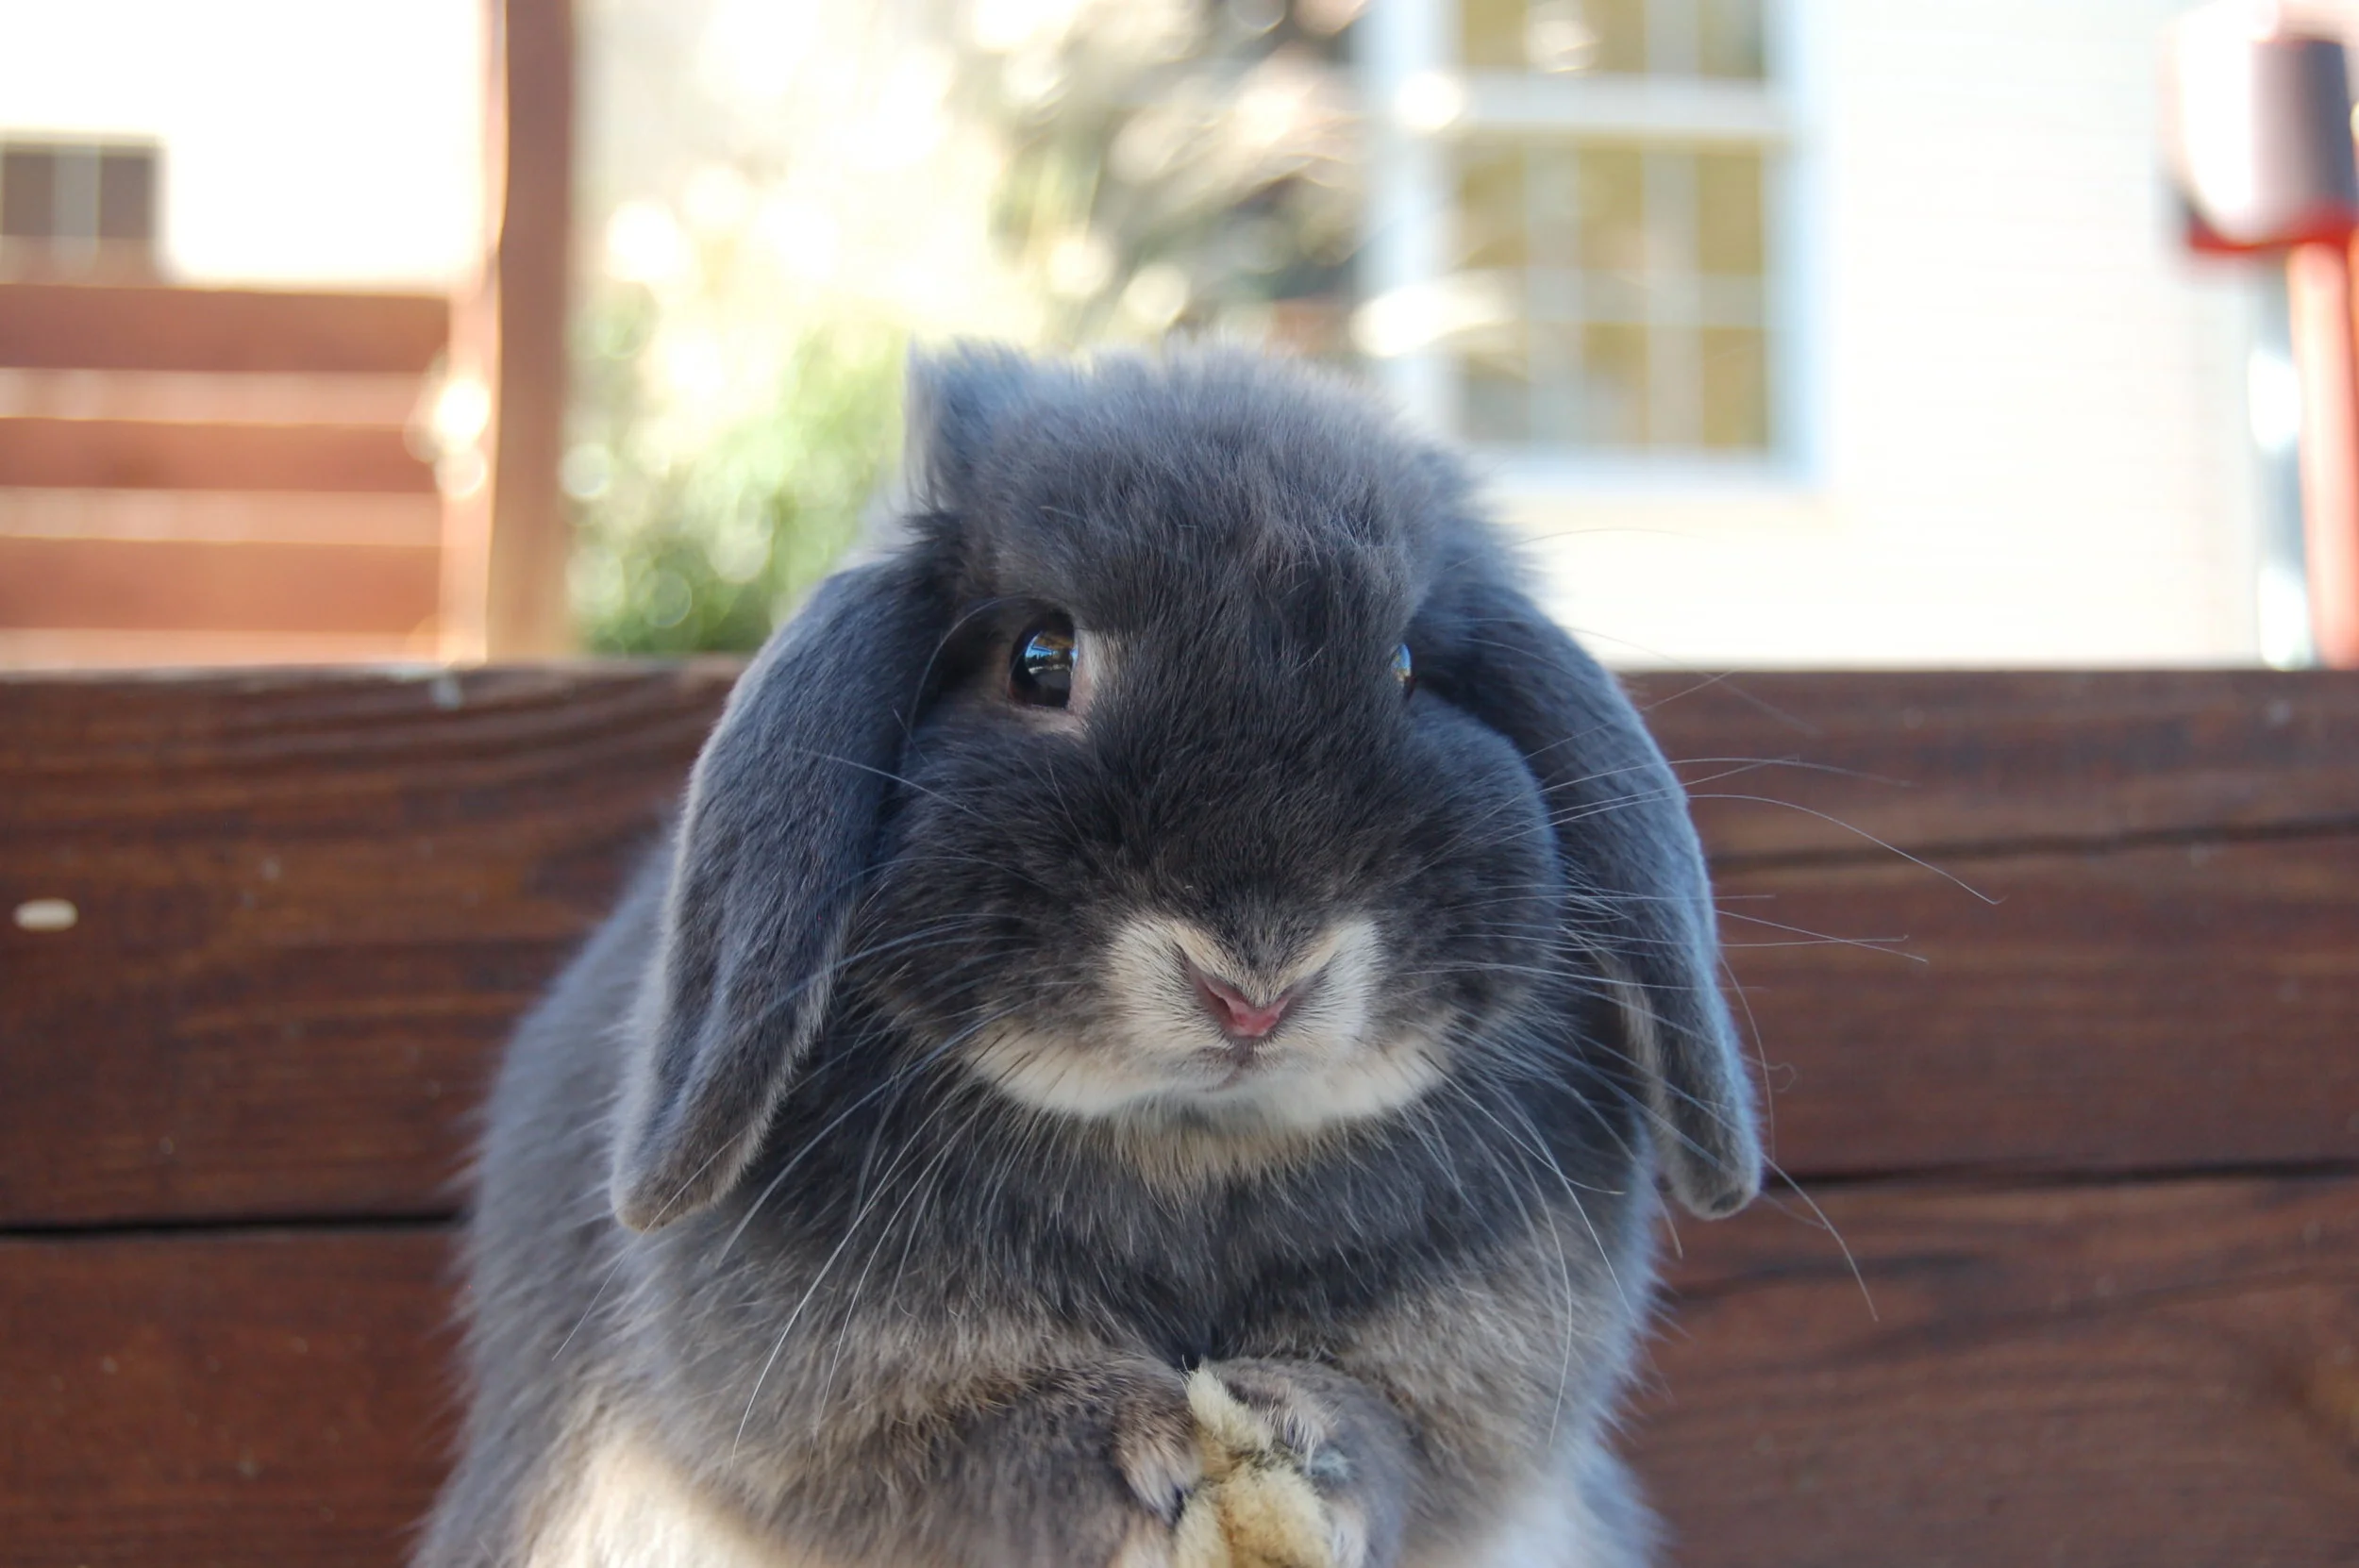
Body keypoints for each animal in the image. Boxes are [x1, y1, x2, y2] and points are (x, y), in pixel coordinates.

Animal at [415, 345, 1761, 1568]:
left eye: (1406, 666)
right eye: (1039, 659)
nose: (1255, 983)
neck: (1186, 1150)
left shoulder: (1478, 1388)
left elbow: (1407, 1447)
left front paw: (1304, 1445)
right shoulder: (838, 1427)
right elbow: (983, 1464)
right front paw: (1147, 1460)